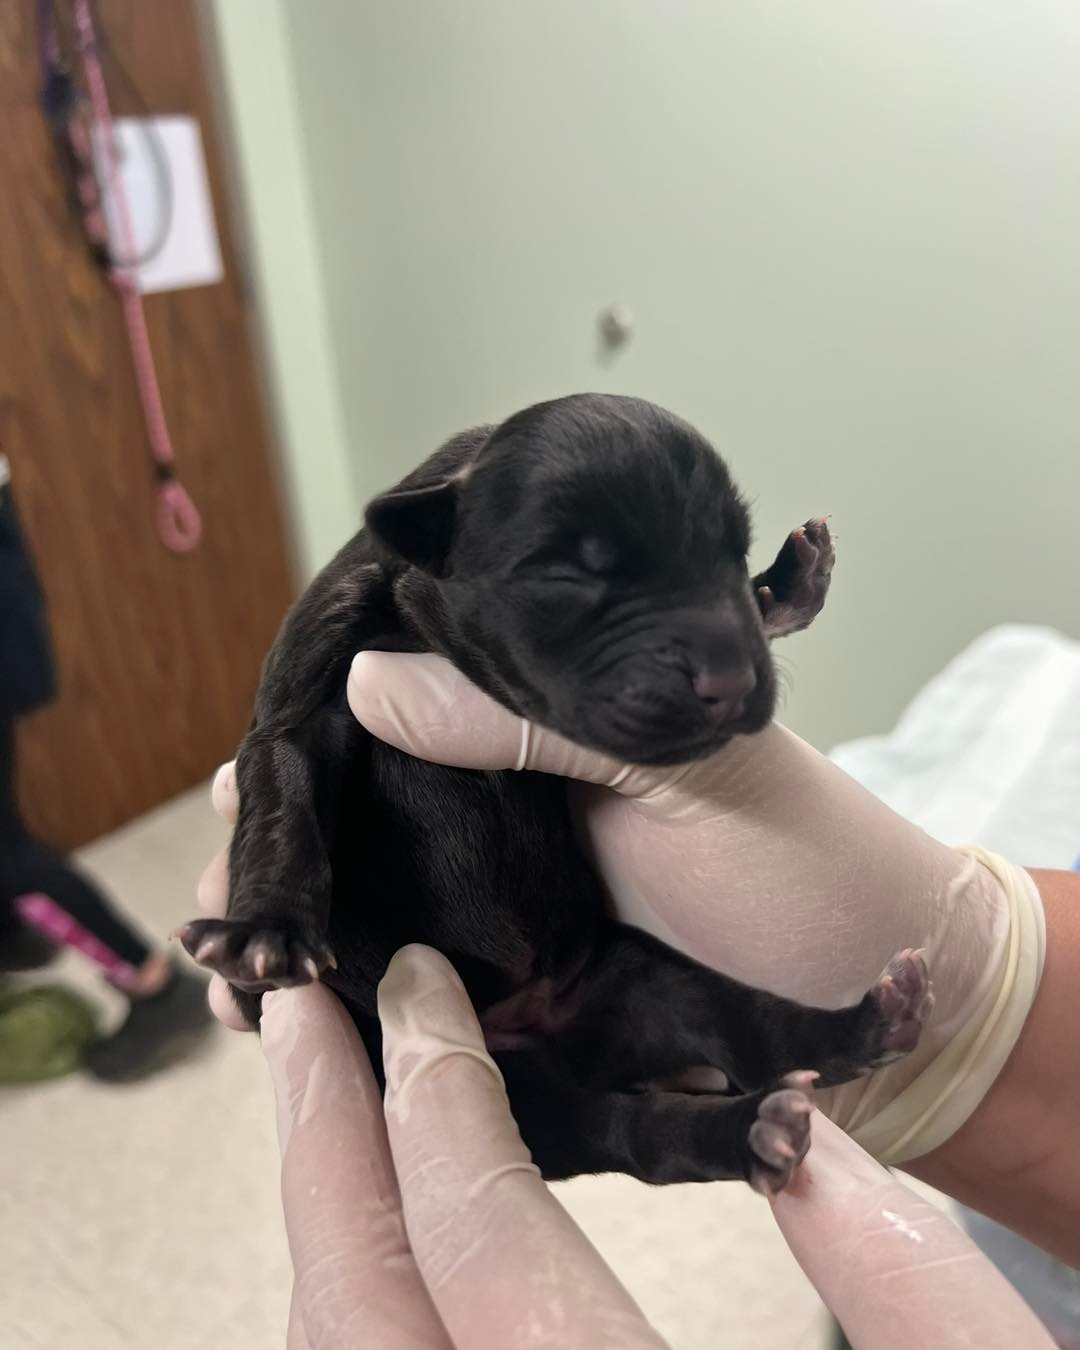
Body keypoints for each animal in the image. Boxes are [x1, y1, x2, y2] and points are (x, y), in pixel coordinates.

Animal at [179, 394, 928, 1193]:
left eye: (732, 549)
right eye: (570, 575)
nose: (733, 680)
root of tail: (537, 1021)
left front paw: (779, 590)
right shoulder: (312, 672)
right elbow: (284, 796)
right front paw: (265, 933)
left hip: (637, 978)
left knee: (742, 1033)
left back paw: (857, 1032)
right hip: (527, 1094)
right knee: (628, 1131)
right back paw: (757, 1127)